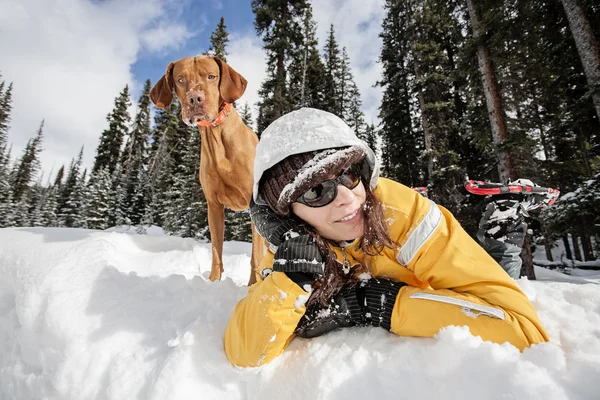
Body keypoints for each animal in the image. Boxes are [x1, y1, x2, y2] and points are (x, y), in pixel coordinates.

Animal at [149, 56, 262, 286]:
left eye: (211, 76)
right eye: (180, 80)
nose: (195, 99)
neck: (216, 137)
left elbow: (255, 256)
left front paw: (255, 286)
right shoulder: (214, 206)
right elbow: (216, 252)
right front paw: (214, 282)